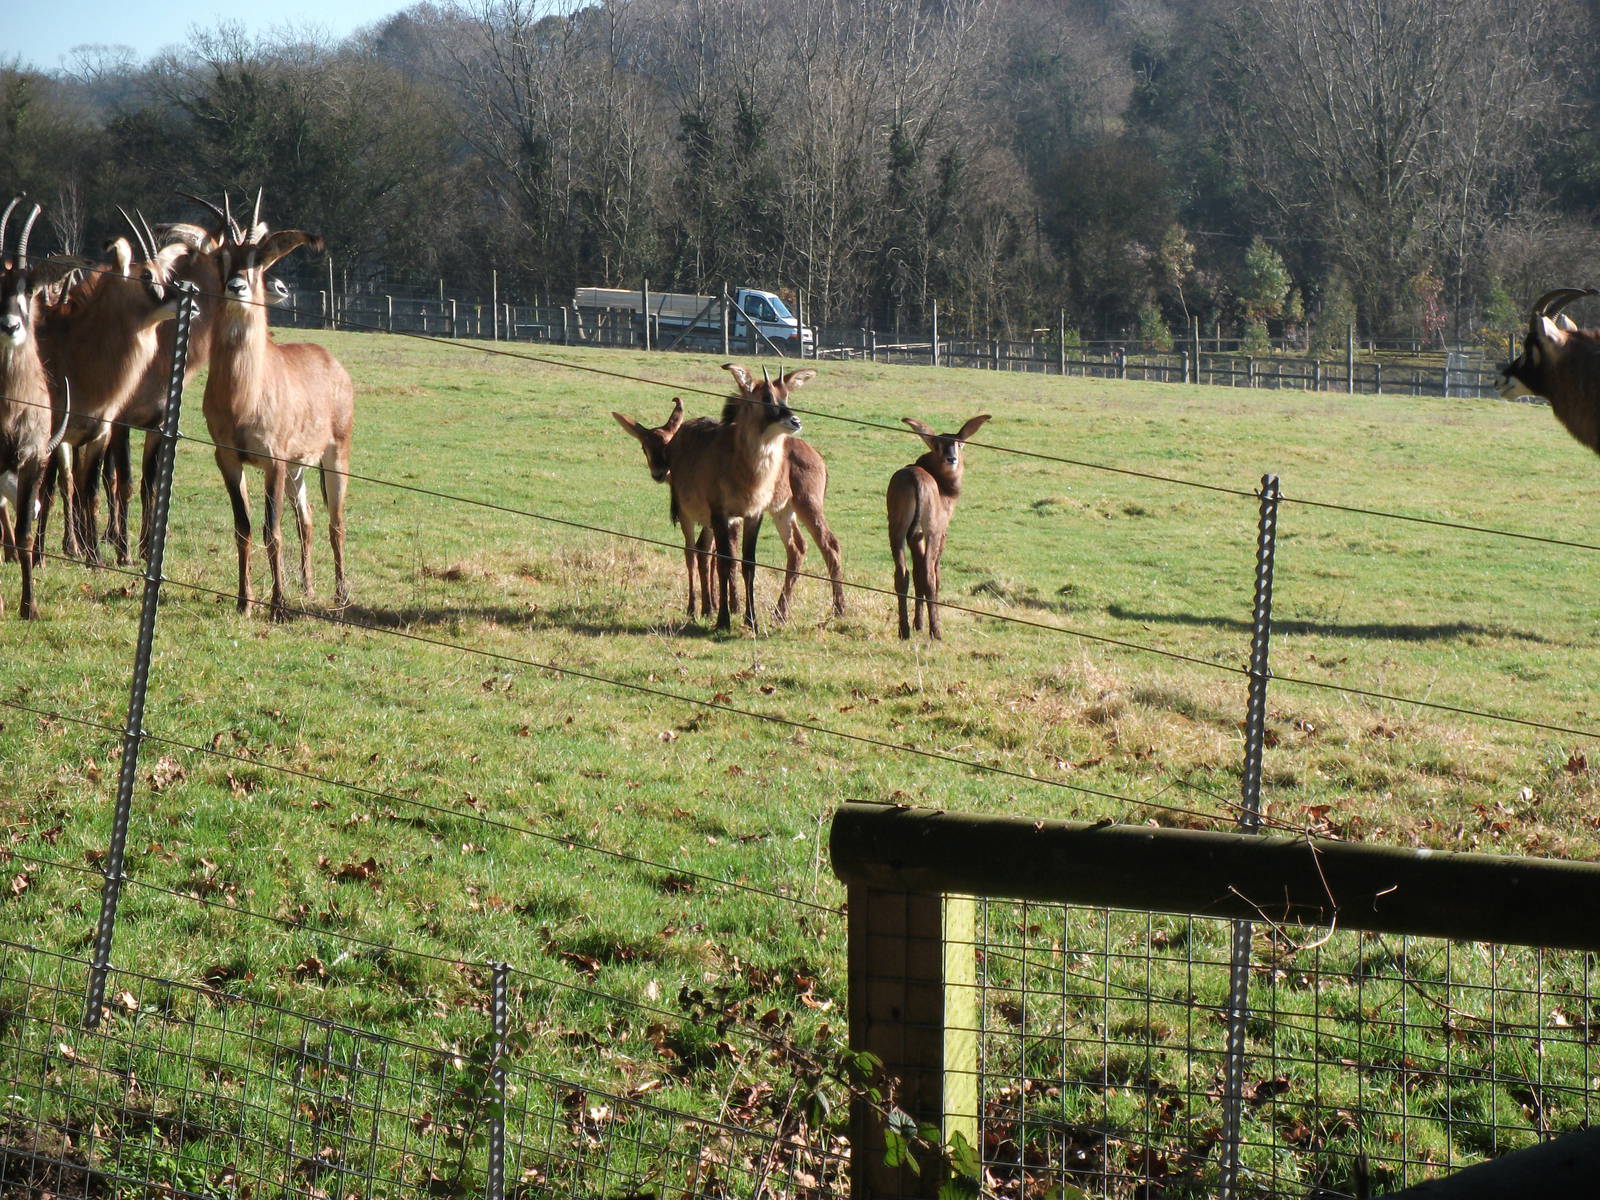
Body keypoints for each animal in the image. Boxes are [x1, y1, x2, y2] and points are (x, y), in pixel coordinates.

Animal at [198, 192, 353, 620]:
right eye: (223, 258)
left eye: (257, 258)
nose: (236, 286)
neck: (243, 394)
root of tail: (332, 361)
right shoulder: (228, 458)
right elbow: (244, 527)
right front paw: (244, 602)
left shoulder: (273, 461)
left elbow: (272, 530)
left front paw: (278, 605)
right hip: (299, 467)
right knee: (308, 518)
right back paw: (310, 587)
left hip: (334, 456)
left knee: (335, 521)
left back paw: (340, 596)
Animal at [612, 397, 847, 623]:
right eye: (645, 447)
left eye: (667, 444)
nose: (659, 472)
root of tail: (817, 457)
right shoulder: (720, 518)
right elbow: (712, 553)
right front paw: (719, 606)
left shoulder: (706, 517)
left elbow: (704, 554)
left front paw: (708, 608)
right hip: (783, 511)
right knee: (797, 548)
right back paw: (780, 613)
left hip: (808, 505)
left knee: (830, 545)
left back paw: (839, 609)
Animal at [886, 413, 990, 639]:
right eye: (938, 445)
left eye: (958, 443)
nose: (952, 459)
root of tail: (914, 477)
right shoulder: (941, 532)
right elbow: (933, 573)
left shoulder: (915, 536)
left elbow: (916, 574)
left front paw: (918, 624)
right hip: (932, 531)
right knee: (930, 574)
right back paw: (936, 632)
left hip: (897, 528)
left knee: (902, 573)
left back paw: (904, 630)